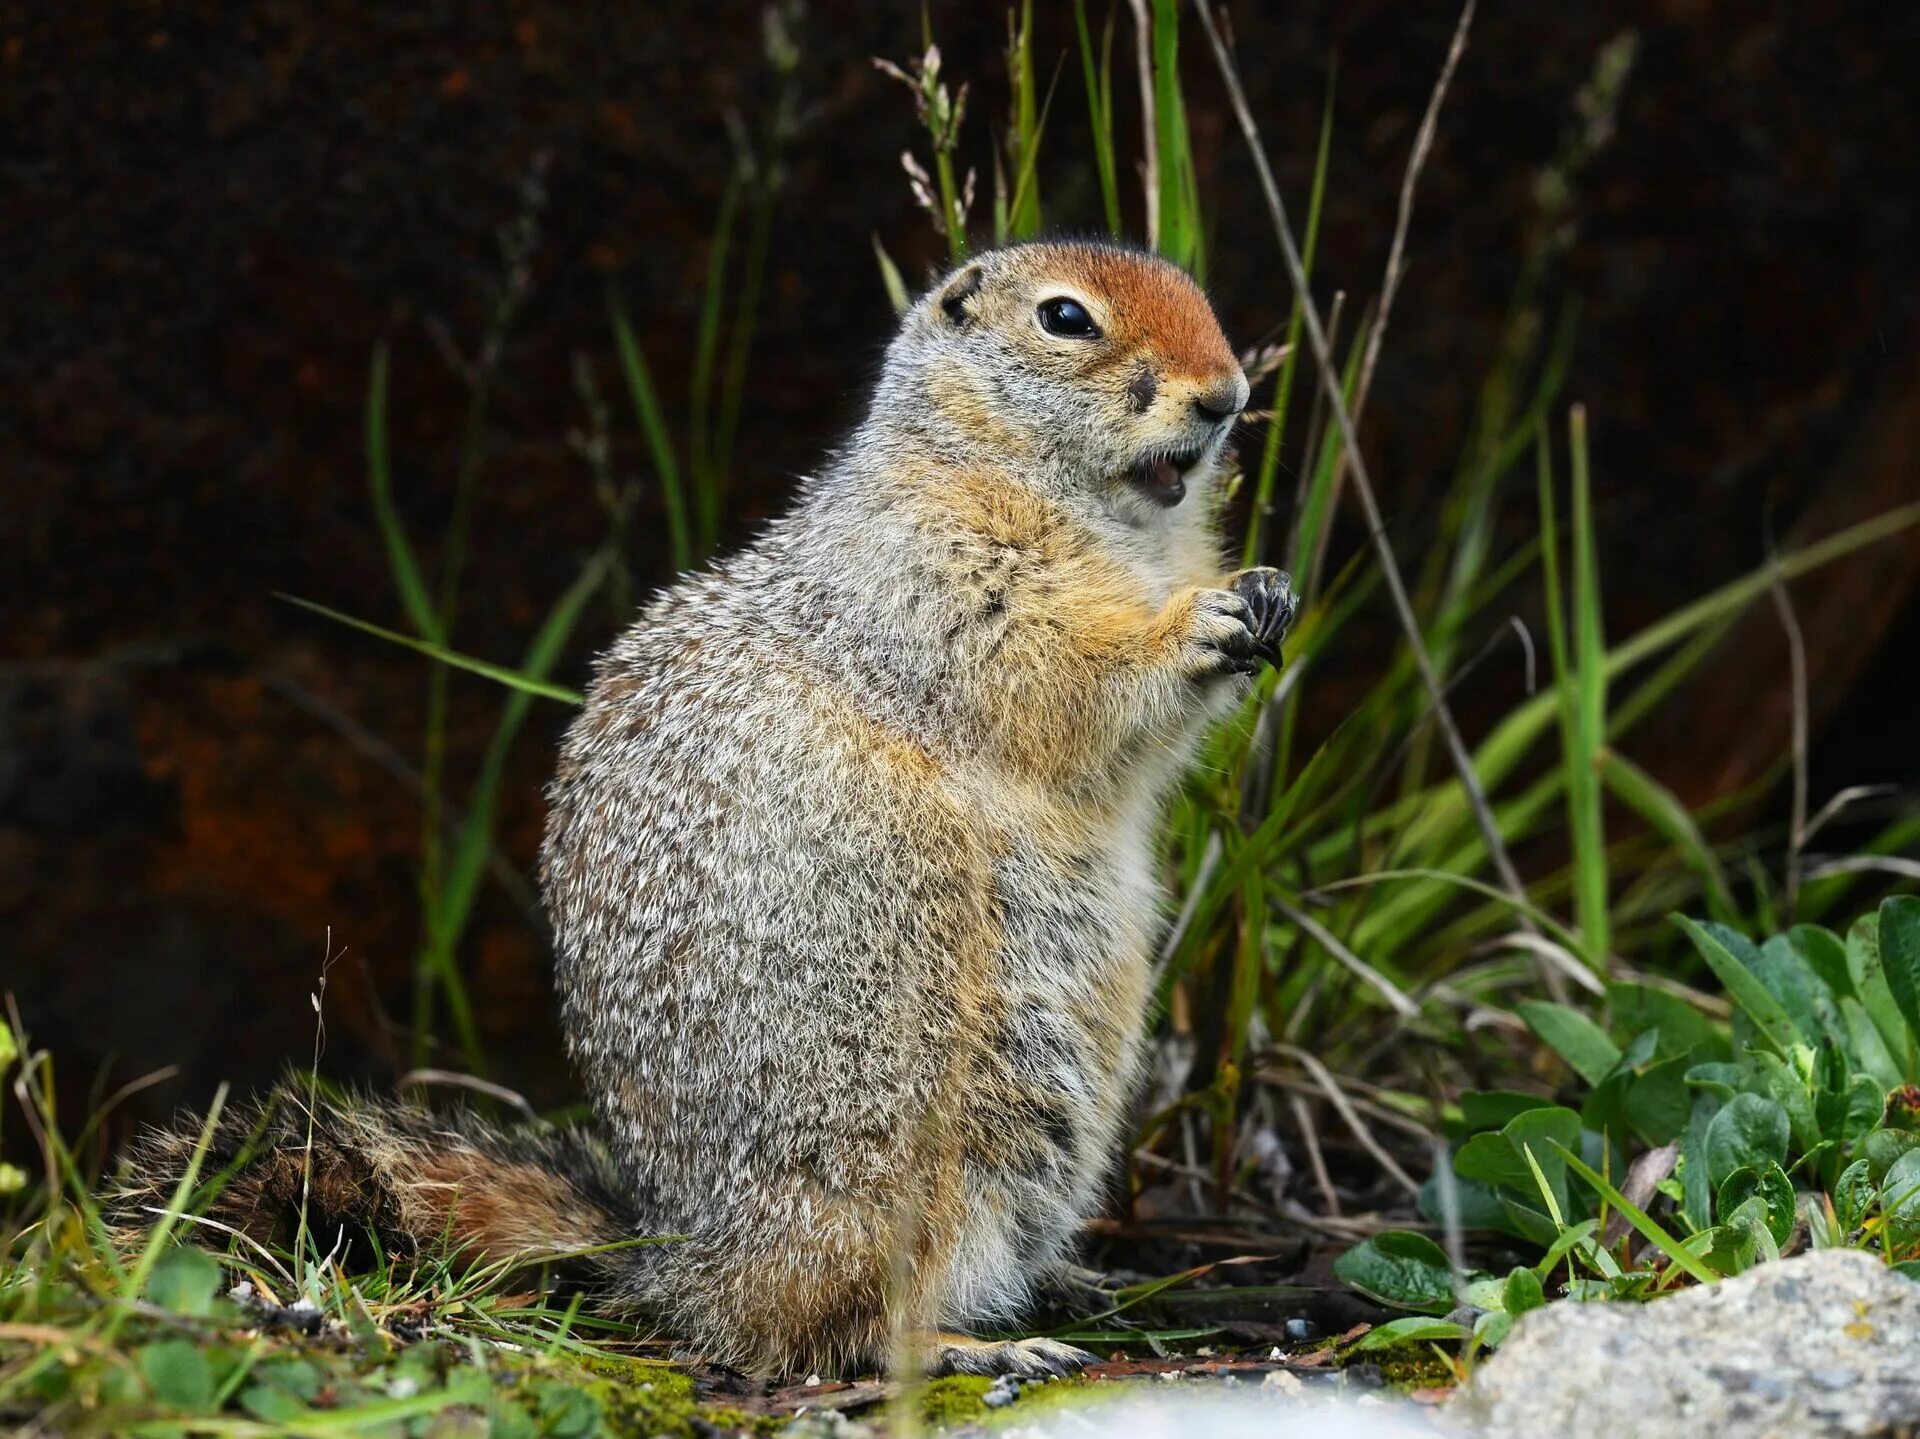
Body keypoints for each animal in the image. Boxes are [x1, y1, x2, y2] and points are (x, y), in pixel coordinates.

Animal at [116, 238, 1290, 1383]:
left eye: (1191, 288)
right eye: (1065, 317)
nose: (1228, 394)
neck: (1114, 521)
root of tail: (684, 1258)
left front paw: (1266, 591)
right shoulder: (935, 563)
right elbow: (1046, 664)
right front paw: (1194, 624)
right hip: (891, 1160)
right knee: (830, 1327)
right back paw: (975, 1340)